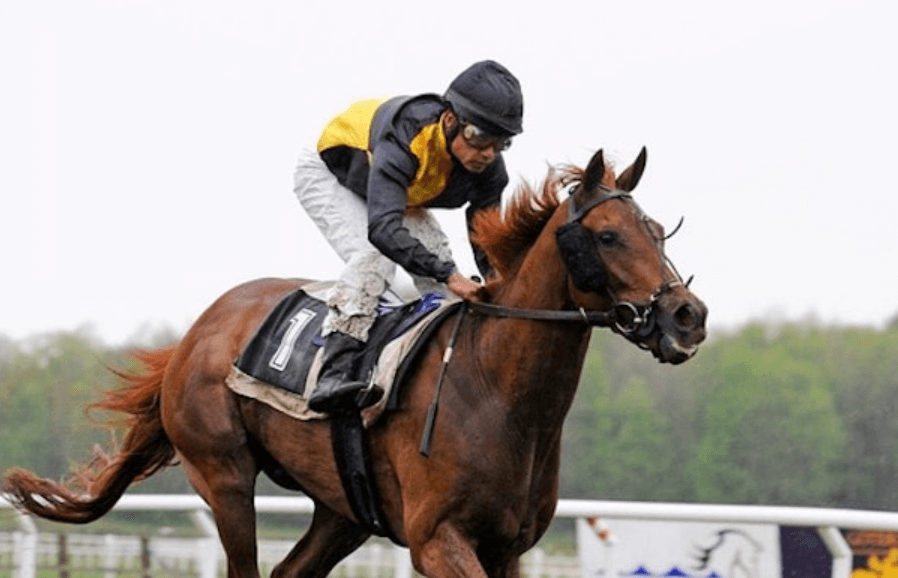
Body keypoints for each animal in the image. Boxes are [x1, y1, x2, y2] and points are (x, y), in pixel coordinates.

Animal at [3, 147, 707, 578]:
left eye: (658, 232)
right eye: (609, 236)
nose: (688, 315)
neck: (498, 393)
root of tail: (195, 334)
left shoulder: (509, 547)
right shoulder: (437, 538)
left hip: (342, 509)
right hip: (223, 475)